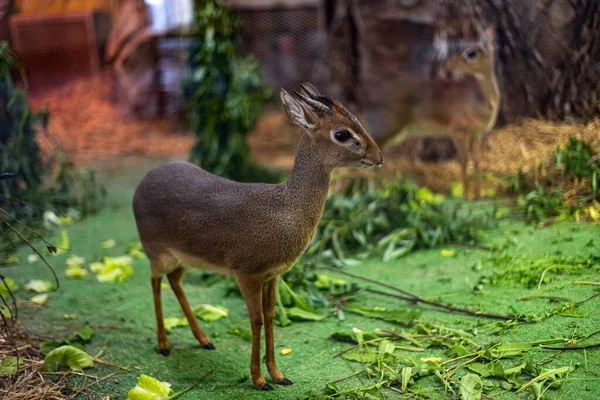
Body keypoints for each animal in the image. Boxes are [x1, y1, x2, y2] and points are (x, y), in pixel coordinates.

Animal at [133, 83, 382, 390]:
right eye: (343, 133)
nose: (379, 157)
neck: (284, 210)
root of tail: (143, 181)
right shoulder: (247, 272)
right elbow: (256, 320)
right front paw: (258, 379)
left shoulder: (272, 274)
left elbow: (271, 316)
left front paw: (278, 374)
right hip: (156, 251)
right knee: (155, 281)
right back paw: (164, 345)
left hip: (182, 258)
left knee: (175, 281)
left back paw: (204, 340)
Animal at [368, 26, 500, 198]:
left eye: (471, 53)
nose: (449, 64)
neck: (481, 102)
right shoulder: (457, 131)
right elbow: (464, 160)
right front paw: (466, 197)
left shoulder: (477, 133)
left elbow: (476, 160)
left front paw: (479, 196)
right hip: (390, 127)